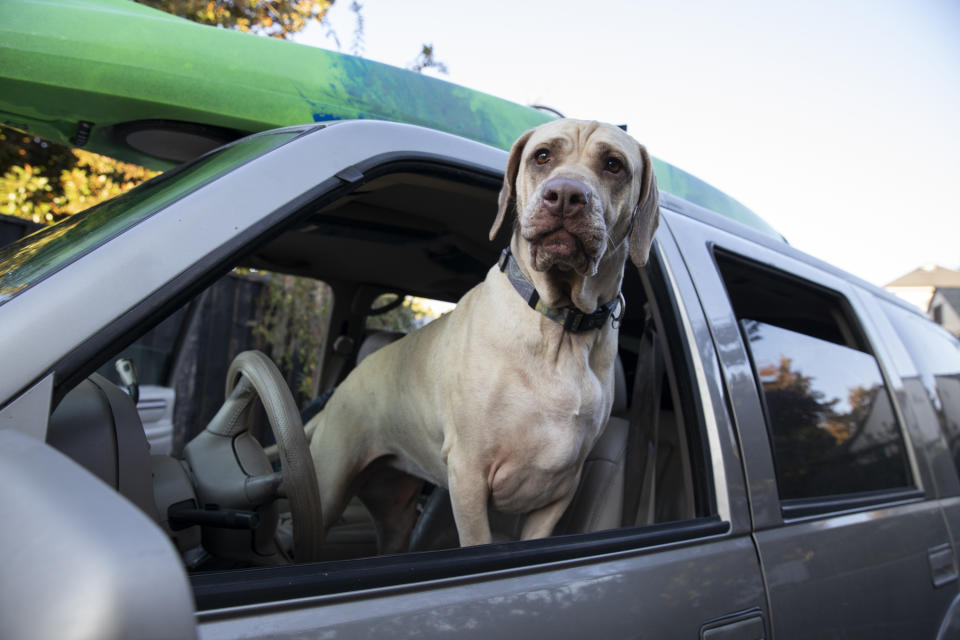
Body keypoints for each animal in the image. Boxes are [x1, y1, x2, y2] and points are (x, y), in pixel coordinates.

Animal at [308, 119, 660, 552]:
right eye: (542, 156)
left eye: (613, 164)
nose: (565, 196)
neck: (560, 326)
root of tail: (338, 393)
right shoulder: (469, 475)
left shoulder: (559, 493)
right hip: (328, 489)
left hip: (394, 510)